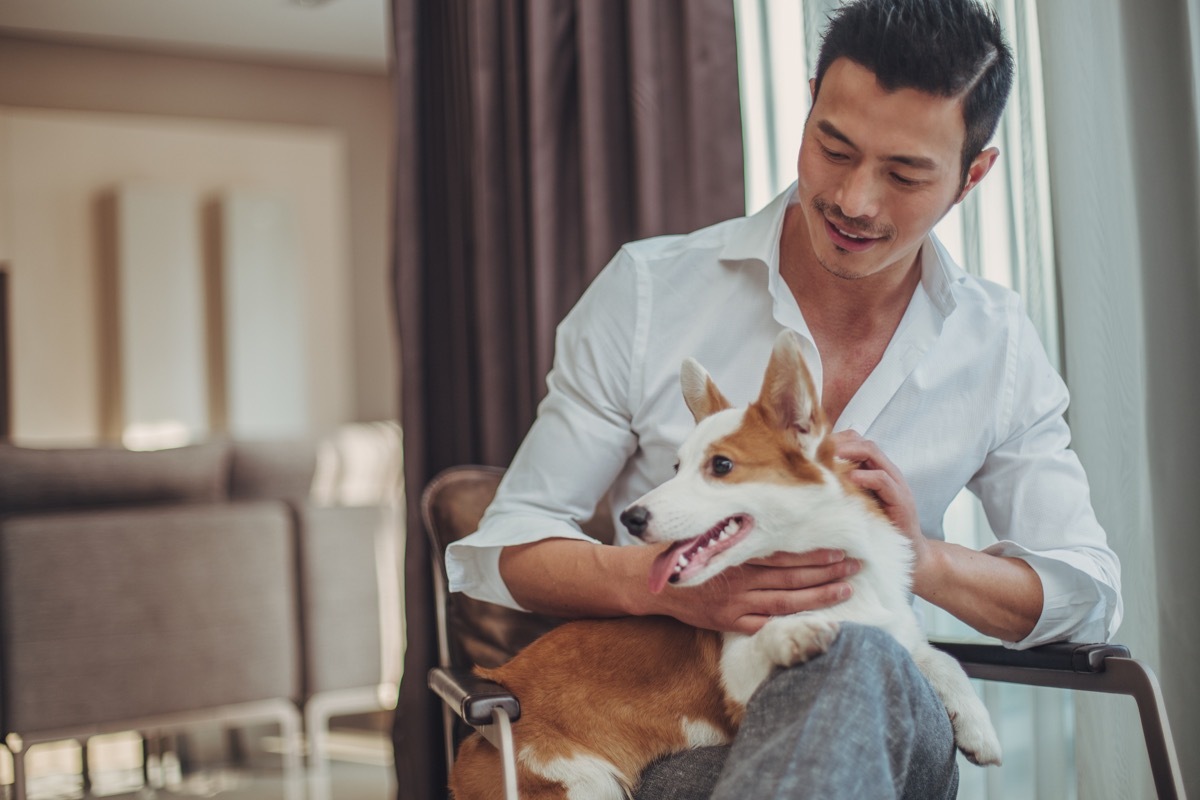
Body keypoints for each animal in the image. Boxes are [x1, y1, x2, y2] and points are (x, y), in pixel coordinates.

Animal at [451, 331, 1003, 800]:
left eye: (720, 466)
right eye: (676, 467)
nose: (631, 518)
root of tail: (480, 731)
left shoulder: (900, 633)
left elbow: (942, 660)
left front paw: (979, 727)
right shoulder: (739, 686)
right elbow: (774, 639)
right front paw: (796, 633)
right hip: (583, 783)